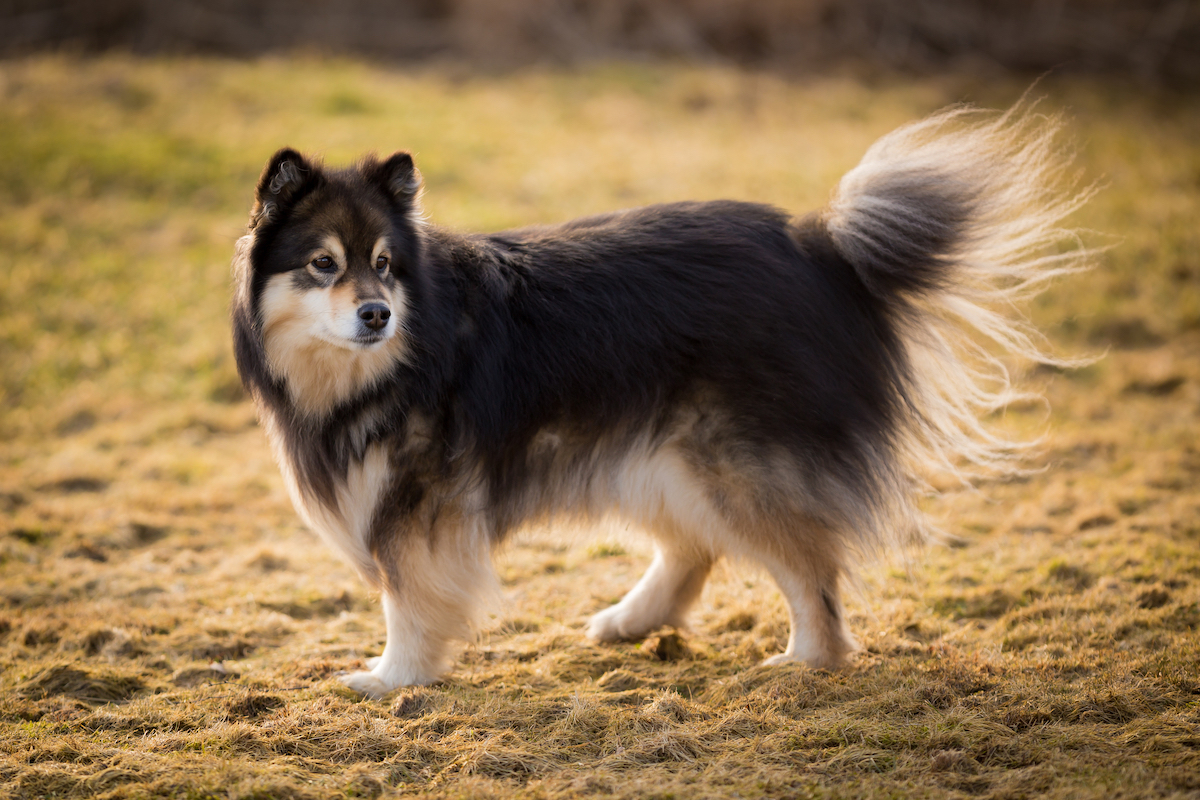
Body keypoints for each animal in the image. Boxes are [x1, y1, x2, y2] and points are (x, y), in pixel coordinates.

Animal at [229, 103, 1094, 695]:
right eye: (323, 264)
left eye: (383, 264)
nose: (377, 313)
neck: (396, 355)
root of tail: (821, 250)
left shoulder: (418, 504)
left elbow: (408, 597)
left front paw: (393, 677)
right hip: (652, 450)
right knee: (695, 546)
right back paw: (632, 619)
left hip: (726, 462)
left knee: (808, 564)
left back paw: (806, 661)